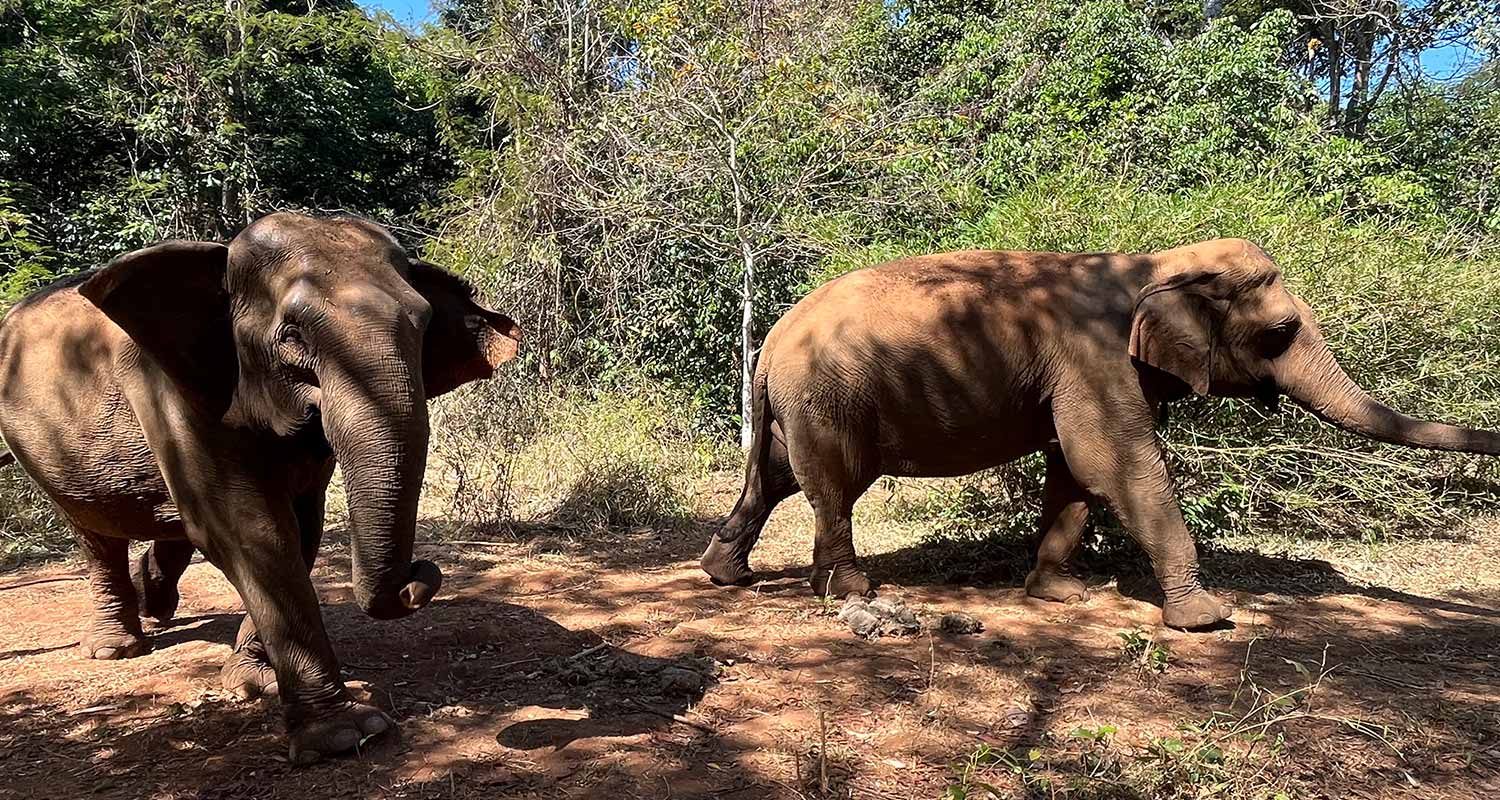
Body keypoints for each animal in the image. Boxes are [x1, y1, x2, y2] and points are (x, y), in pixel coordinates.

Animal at [0, 212, 521, 761]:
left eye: (423, 326)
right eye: (292, 335)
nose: (419, 579)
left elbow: (299, 526)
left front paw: (257, 683)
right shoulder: (168, 390)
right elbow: (249, 529)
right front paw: (345, 734)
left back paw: (155, 605)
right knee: (98, 532)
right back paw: (114, 647)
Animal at [699, 238, 1500, 629]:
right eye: (1278, 334)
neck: (1156, 263)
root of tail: (769, 343)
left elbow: (1074, 467)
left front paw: (1062, 596)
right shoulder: (1093, 356)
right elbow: (1112, 458)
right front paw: (1207, 619)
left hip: (797, 406)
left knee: (774, 478)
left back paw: (726, 575)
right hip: (827, 400)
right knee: (832, 485)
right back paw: (847, 589)